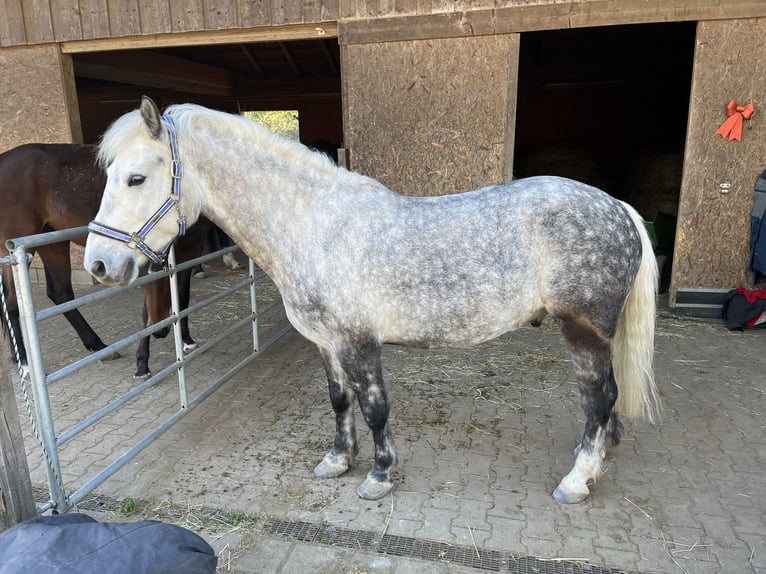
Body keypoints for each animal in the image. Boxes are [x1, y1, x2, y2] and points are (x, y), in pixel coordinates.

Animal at [0, 143, 208, 378]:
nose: (161, 330)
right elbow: (147, 311)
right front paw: (142, 363)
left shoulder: (189, 252)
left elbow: (182, 296)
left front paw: (186, 340)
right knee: (12, 301)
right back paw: (24, 361)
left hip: (51, 242)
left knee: (60, 293)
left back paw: (97, 345)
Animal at [84, 97, 660, 504]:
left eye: (137, 177)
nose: (99, 264)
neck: (312, 224)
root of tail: (617, 208)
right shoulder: (326, 343)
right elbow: (340, 402)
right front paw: (339, 461)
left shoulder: (359, 343)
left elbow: (375, 407)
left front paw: (379, 476)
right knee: (604, 402)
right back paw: (596, 456)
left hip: (584, 332)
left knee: (599, 399)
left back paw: (577, 480)